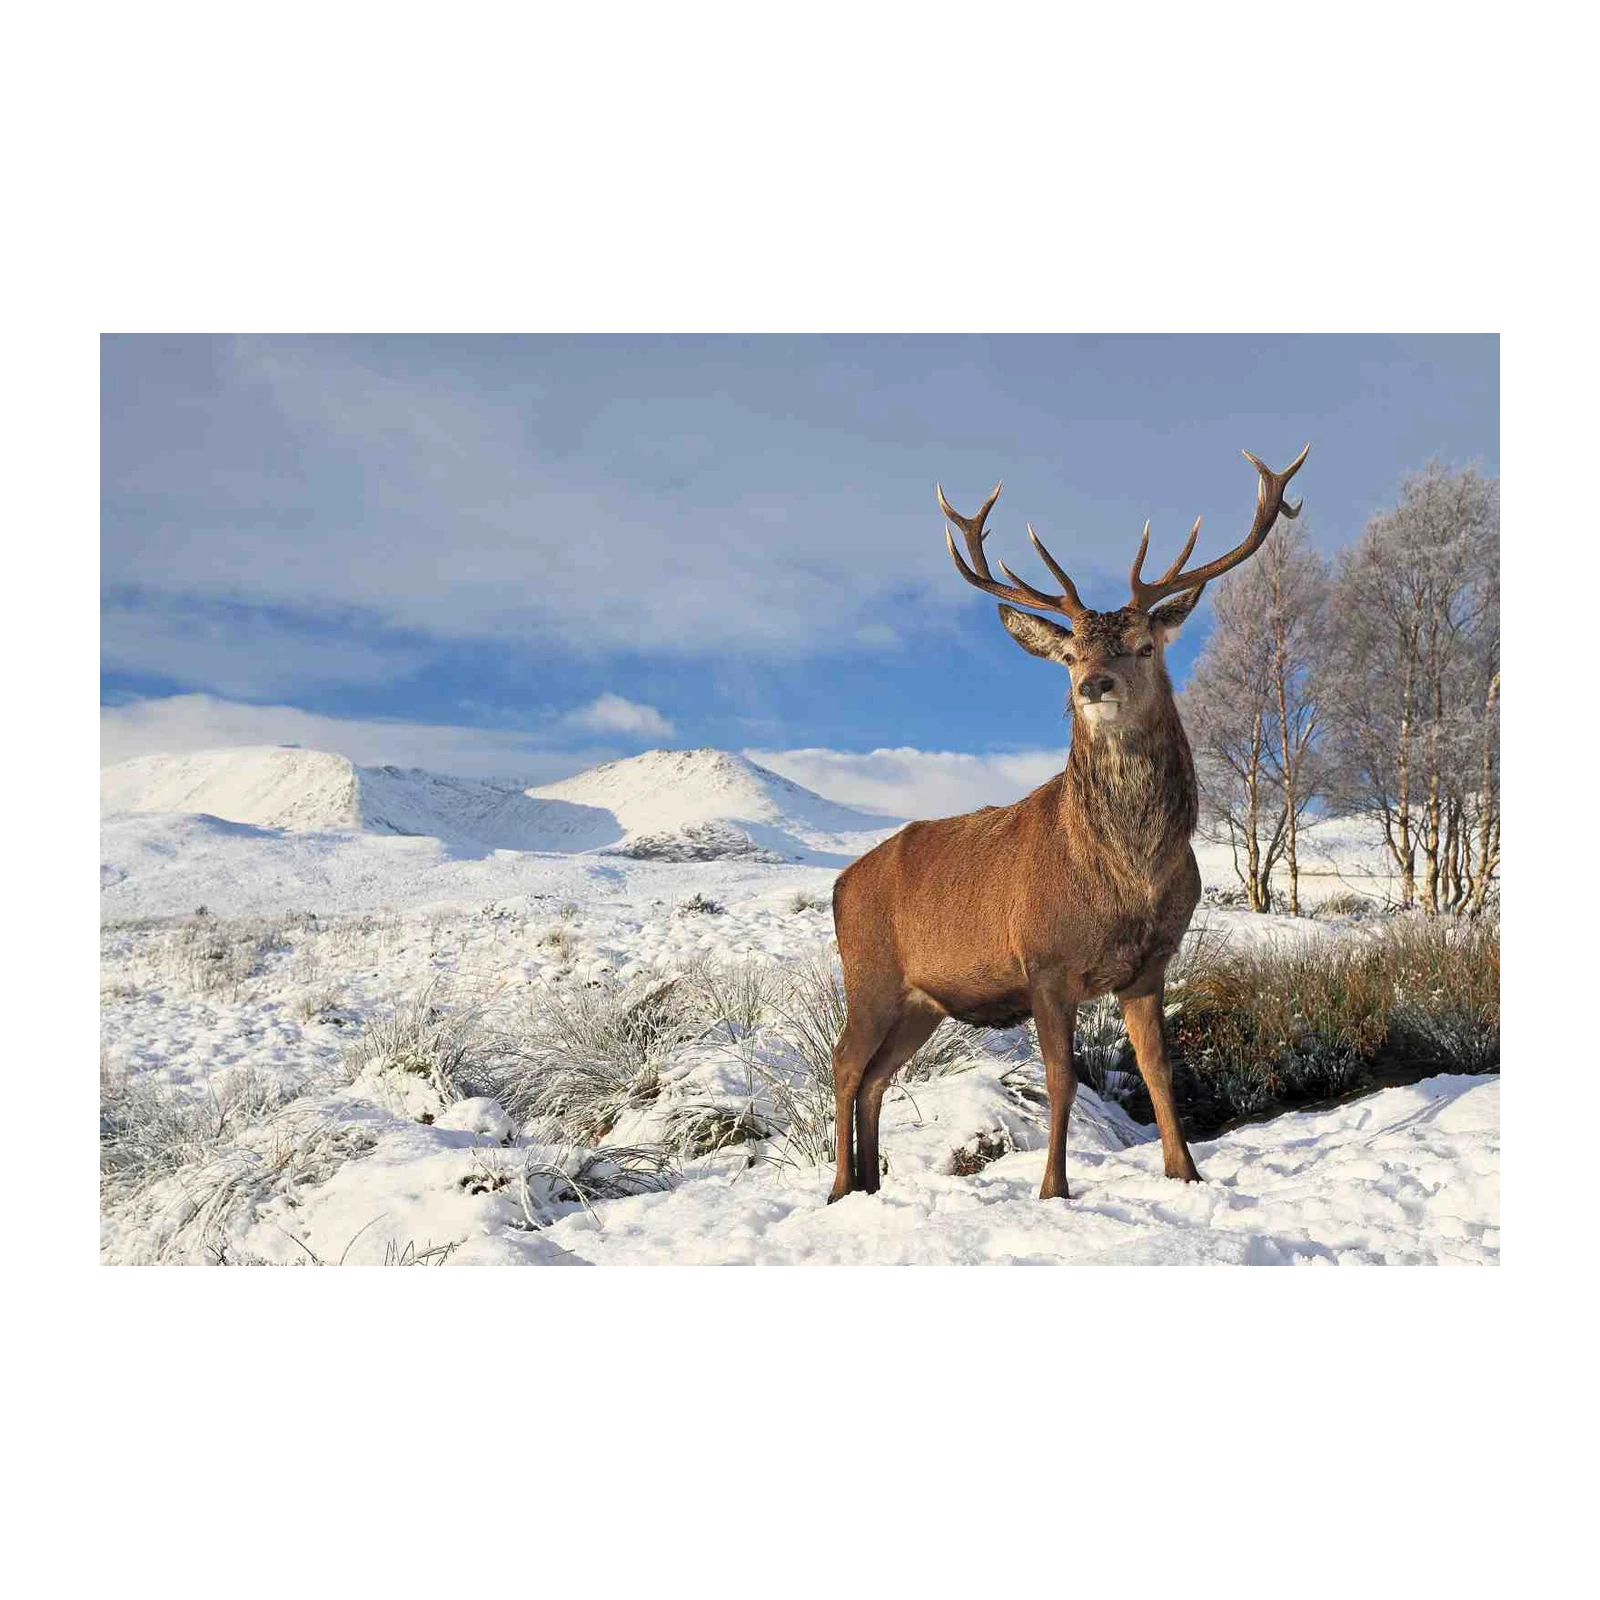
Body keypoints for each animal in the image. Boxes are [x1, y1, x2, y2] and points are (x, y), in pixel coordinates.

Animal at [827, 445, 1310, 1204]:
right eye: (1070, 653)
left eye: (1144, 645)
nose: (1093, 685)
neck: (1127, 876)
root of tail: (840, 885)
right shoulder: (1044, 961)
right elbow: (1061, 1080)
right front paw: (1053, 1189)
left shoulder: (1149, 965)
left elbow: (1158, 1071)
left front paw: (1186, 1172)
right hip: (868, 973)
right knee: (845, 1064)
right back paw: (840, 1187)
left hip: (922, 1001)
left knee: (876, 1076)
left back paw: (872, 1187)